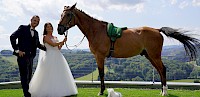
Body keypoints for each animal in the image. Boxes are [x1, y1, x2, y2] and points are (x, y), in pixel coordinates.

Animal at [57, 3, 199, 96]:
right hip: (150, 56)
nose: (59, 29)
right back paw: (162, 90)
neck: (96, 31)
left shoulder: (99, 56)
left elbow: (101, 74)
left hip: (155, 55)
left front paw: (101, 91)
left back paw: (164, 92)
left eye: (68, 14)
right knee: (159, 70)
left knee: (162, 69)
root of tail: (157, 30)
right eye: (61, 14)